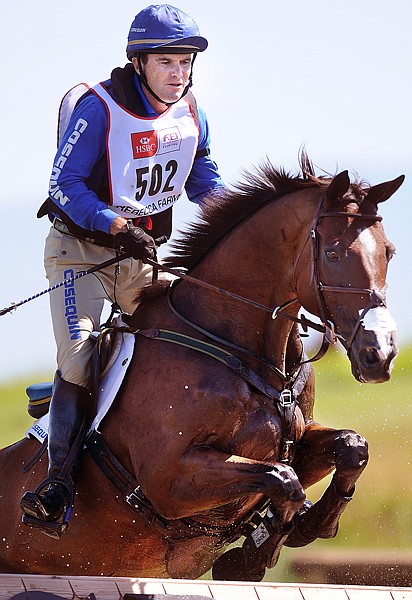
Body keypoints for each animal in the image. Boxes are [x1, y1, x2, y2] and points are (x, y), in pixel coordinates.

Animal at [0, 155, 404, 580]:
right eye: (333, 254)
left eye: (389, 252)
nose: (379, 353)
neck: (233, 347)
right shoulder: (168, 480)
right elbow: (282, 479)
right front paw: (251, 559)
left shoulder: (299, 439)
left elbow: (351, 447)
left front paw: (310, 526)